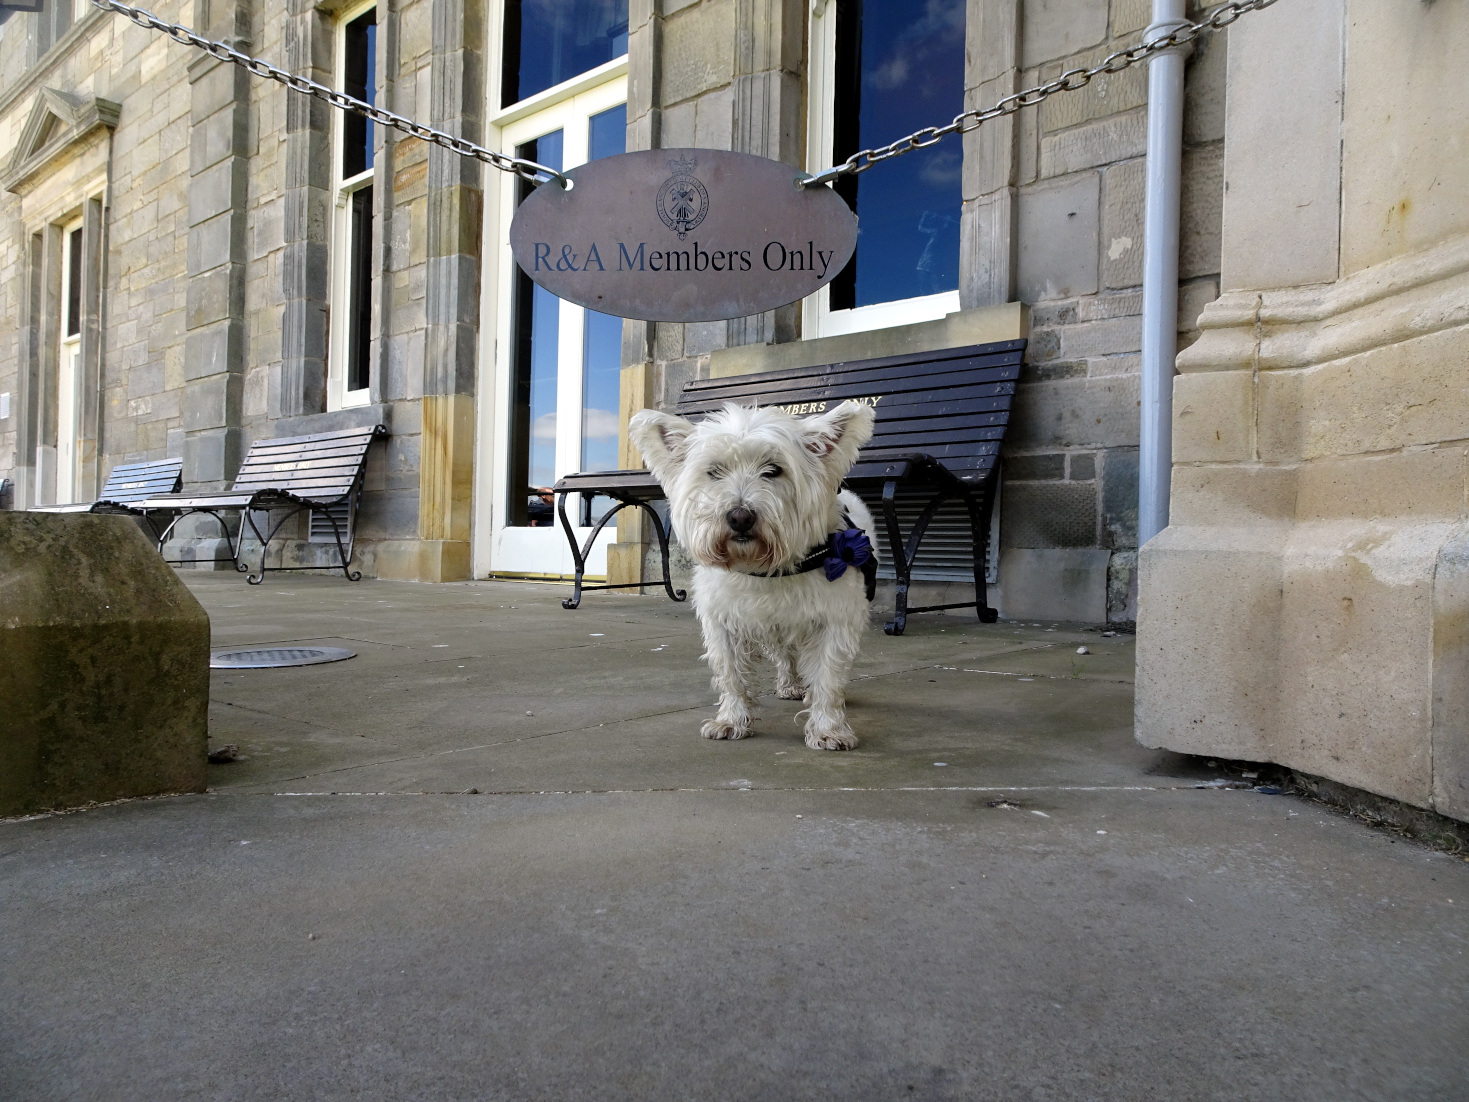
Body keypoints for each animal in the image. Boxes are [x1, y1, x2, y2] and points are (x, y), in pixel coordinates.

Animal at [628, 402, 875, 758]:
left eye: (773, 470)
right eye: (714, 471)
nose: (739, 517)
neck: (763, 568)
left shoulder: (835, 619)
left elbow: (829, 677)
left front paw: (829, 729)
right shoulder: (724, 622)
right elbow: (732, 675)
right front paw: (731, 720)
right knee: (785, 657)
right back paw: (789, 685)